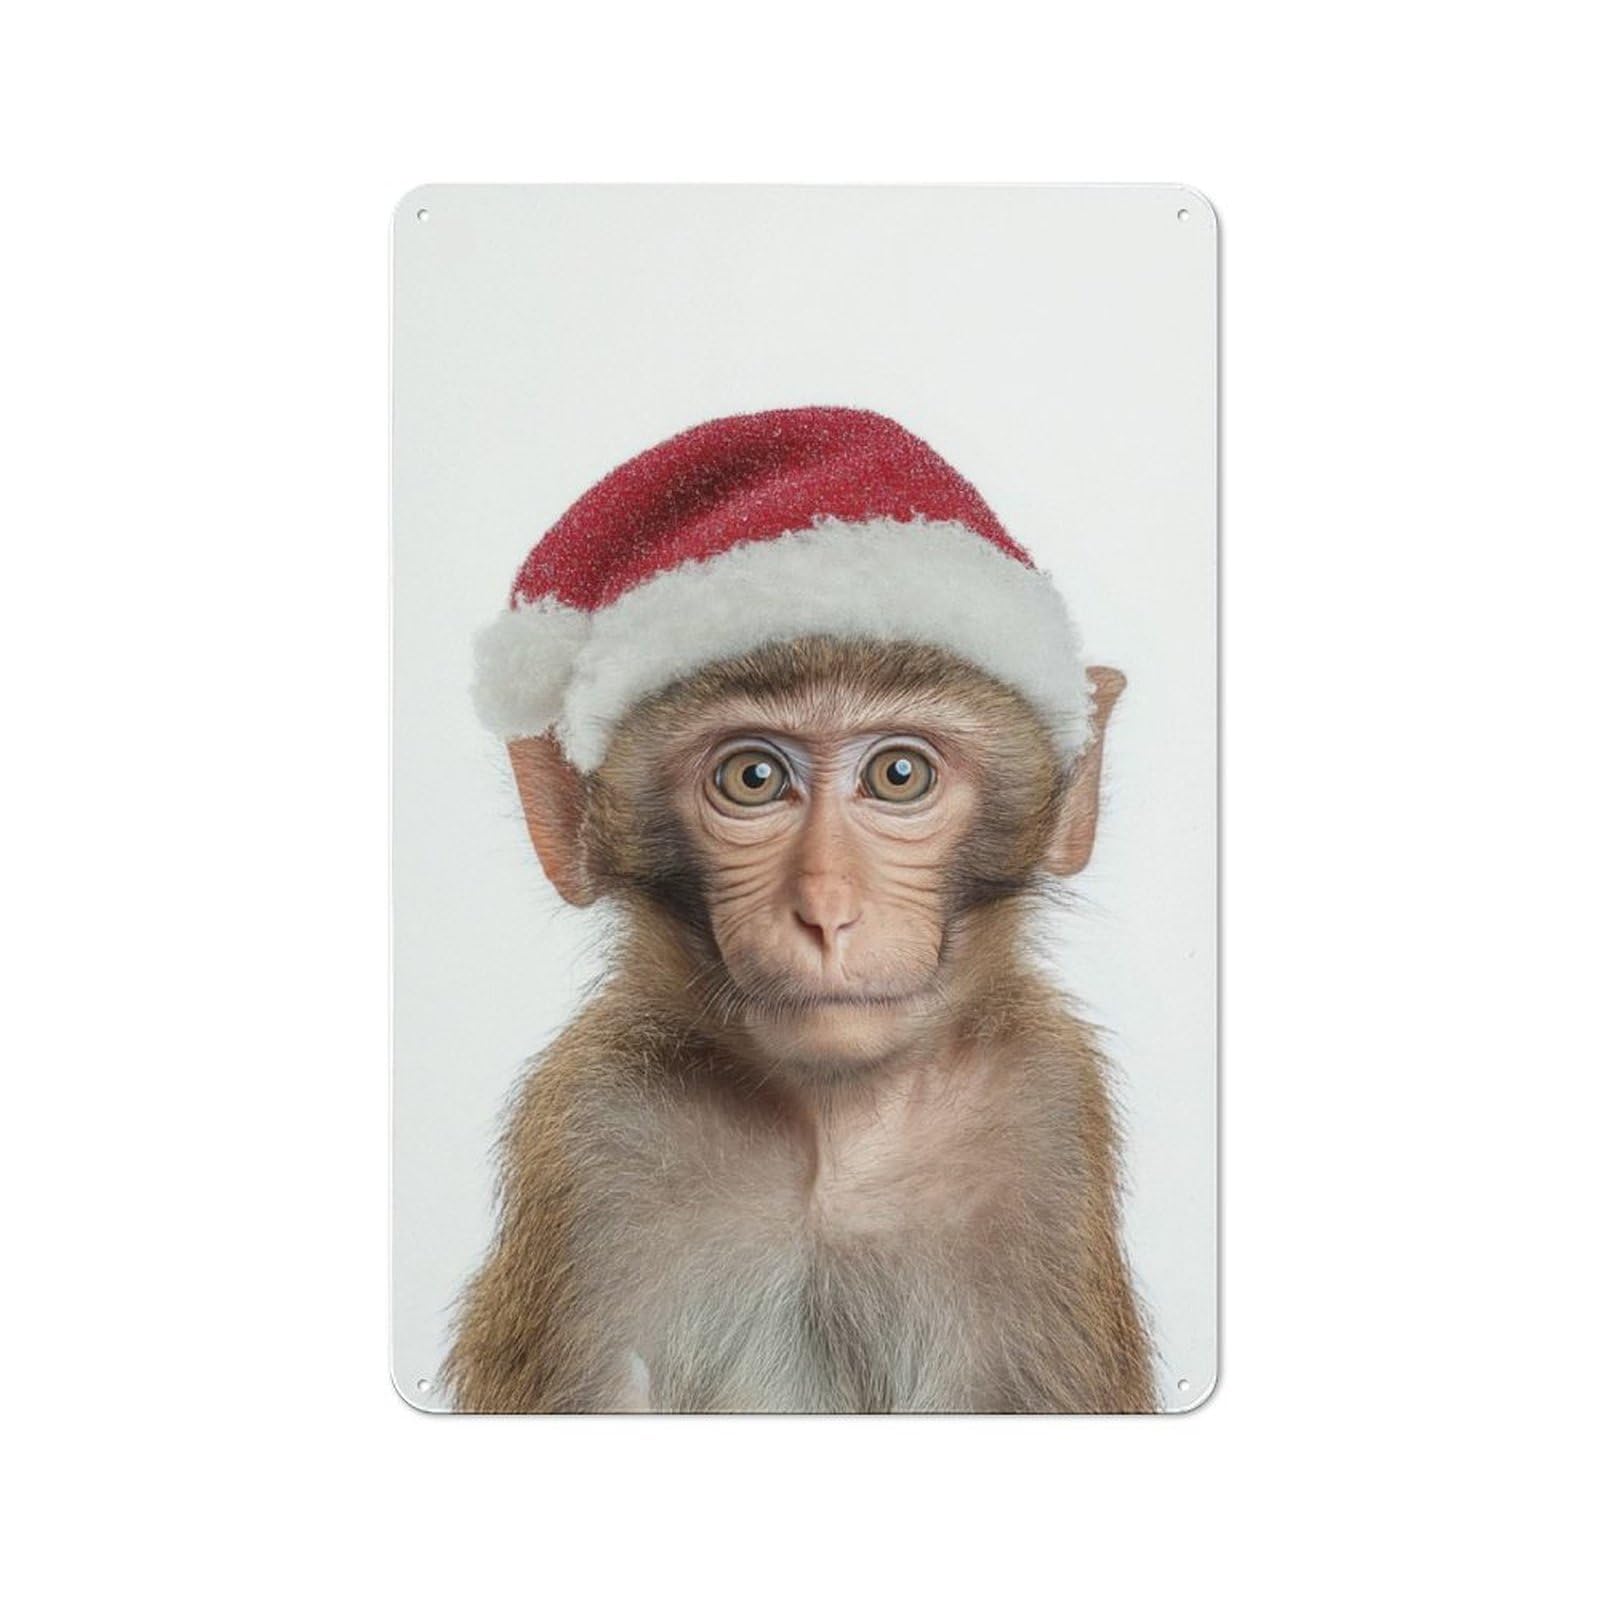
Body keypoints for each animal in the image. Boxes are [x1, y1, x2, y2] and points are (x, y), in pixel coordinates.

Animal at [444, 636, 1155, 1413]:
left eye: (899, 775)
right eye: (752, 778)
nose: (827, 912)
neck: (831, 1132)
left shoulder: (1042, 1117)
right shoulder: (593, 1136)